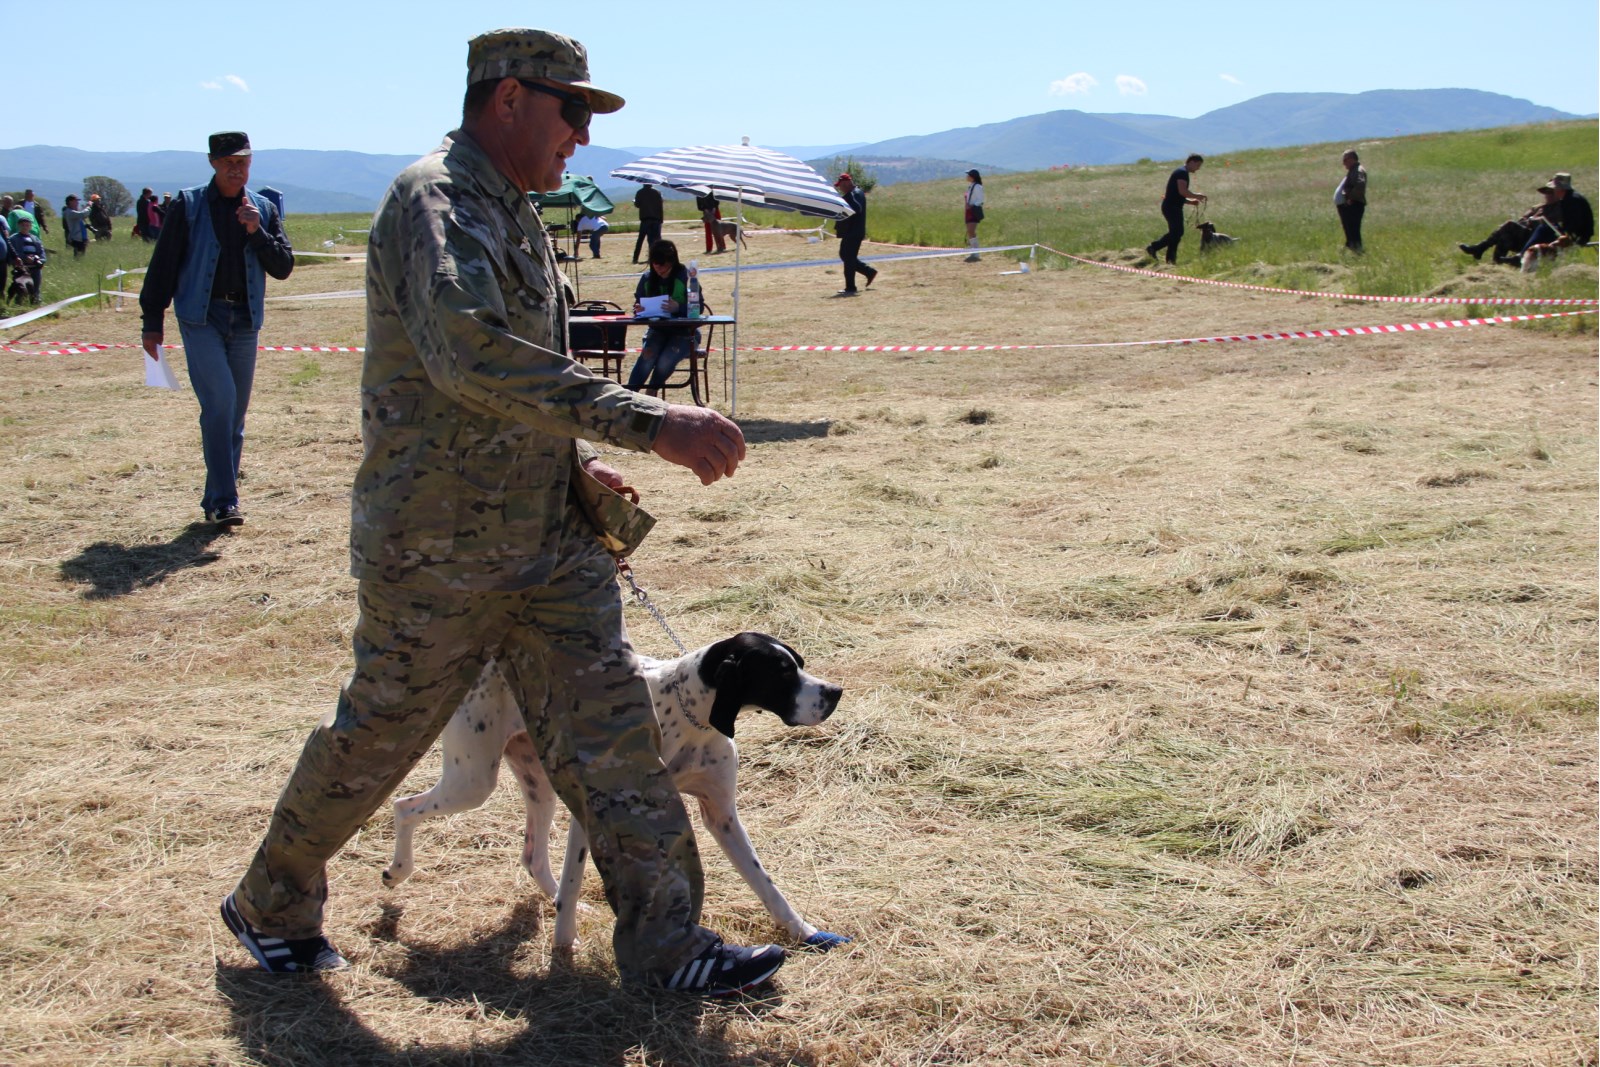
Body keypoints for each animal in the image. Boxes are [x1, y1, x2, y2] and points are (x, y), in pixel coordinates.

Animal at [384, 632, 850, 950]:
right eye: (781, 672)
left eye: (800, 663)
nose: (835, 693)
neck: (690, 716)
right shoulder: (591, 810)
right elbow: (575, 879)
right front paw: (564, 948)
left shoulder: (722, 816)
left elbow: (765, 884)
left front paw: (805, 932)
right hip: (474, 781)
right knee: (404, 805)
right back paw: (397, 871)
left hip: (538, 784)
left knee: (533, 857)